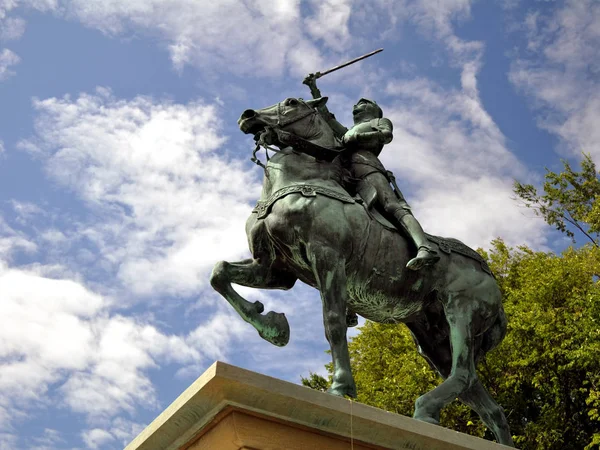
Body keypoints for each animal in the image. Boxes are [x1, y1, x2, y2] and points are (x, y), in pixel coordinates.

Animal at [210, 96, 516, 444]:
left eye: (291, 102)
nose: (247, 116)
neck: (301, 181)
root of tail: (493, 281)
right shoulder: (276, 270)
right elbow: (219, 273)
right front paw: (274, 327)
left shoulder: (327, 258)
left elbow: (332, 323)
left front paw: (341, 387)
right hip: (434, 339)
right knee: (483, 398)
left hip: (460, 312)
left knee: (463, 374)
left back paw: (424, 407)